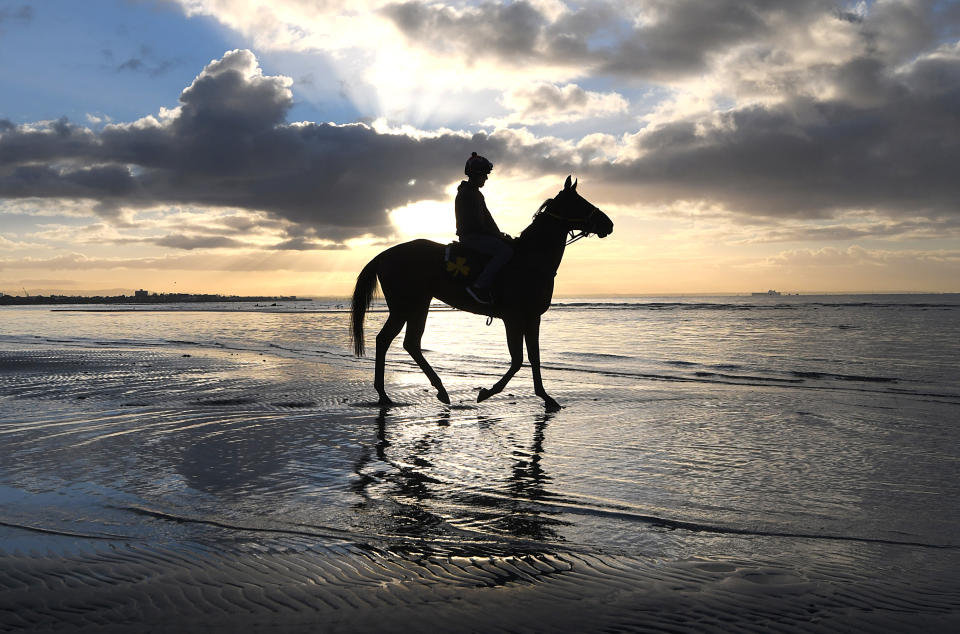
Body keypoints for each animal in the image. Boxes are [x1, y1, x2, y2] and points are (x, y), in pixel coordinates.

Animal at [352, 175, 616, 410]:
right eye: (580, 202)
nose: (609, 224)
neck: (529, 260)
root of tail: (384, 255)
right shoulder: (513, 318)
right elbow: (518, 360)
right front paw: (488, 392)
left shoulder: (533, 318)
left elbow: (534, 357)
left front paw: (545, 397)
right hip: (404, 306)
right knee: (385, 340)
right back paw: (385, 394)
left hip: (419, 304)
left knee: (411, 343)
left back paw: (439, 390)